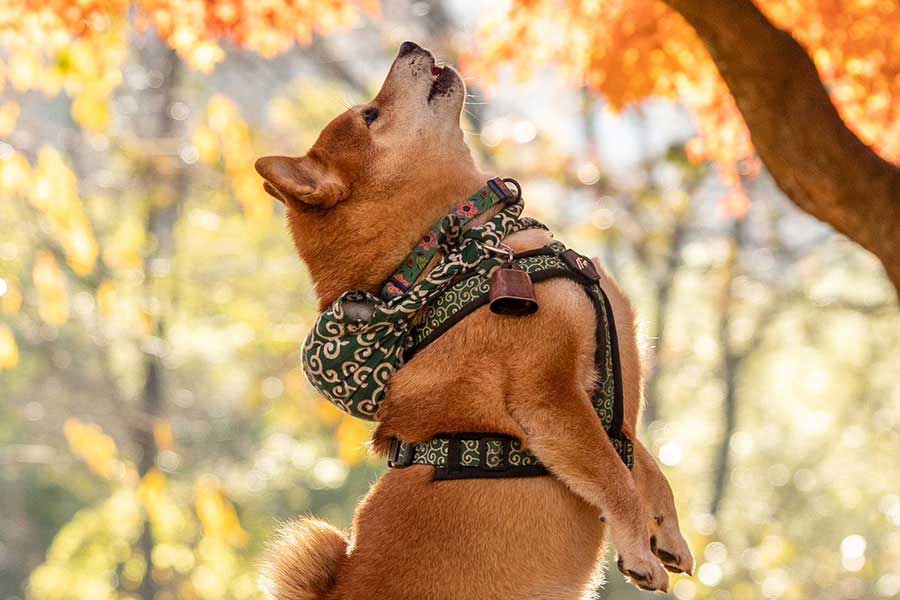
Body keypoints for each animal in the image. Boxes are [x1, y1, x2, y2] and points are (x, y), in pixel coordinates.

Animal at [256, 39, 692, 596]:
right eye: (370, 115)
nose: (408, 43)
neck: (461, 247)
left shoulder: (614, 415)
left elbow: (645, 466)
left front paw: (668, 533)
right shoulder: (550, 396)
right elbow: (614, 477)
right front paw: (639, 546)